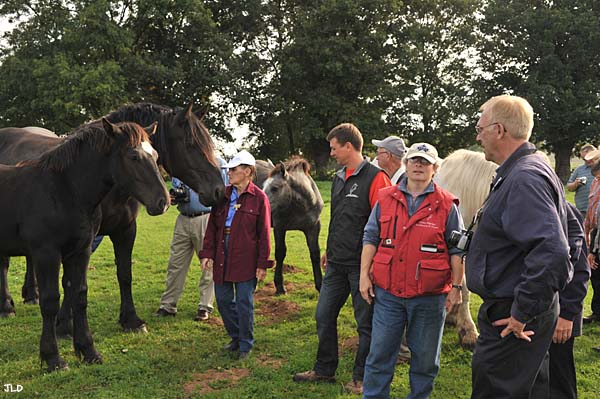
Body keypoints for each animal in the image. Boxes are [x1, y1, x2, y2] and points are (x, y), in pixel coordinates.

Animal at [0, 103, 225, 334]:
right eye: (191, 144)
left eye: (155, 155)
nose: (219, 190)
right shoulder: (86, 239)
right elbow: (70, 282)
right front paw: (64, 323)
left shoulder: (125, 230)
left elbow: (124, 274)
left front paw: (131, 320)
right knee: (4, 264)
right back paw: (7, 306)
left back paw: (31, 295)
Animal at [0, 119, 170, 372]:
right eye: (133, 156)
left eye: (156, 154)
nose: (164, 202)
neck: (63, 191)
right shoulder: (46, 254)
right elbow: (50, 301)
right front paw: (53, 358)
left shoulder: (80, 251)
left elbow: (79, 295)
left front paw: (88, 350)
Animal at [260, 158, 322, 296]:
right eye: (263, 186)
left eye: (275, 188)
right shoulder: (279, 227)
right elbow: (280, 253)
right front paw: (280, 287)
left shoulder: (313, 228)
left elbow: (315, 253)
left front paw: (320, 285)